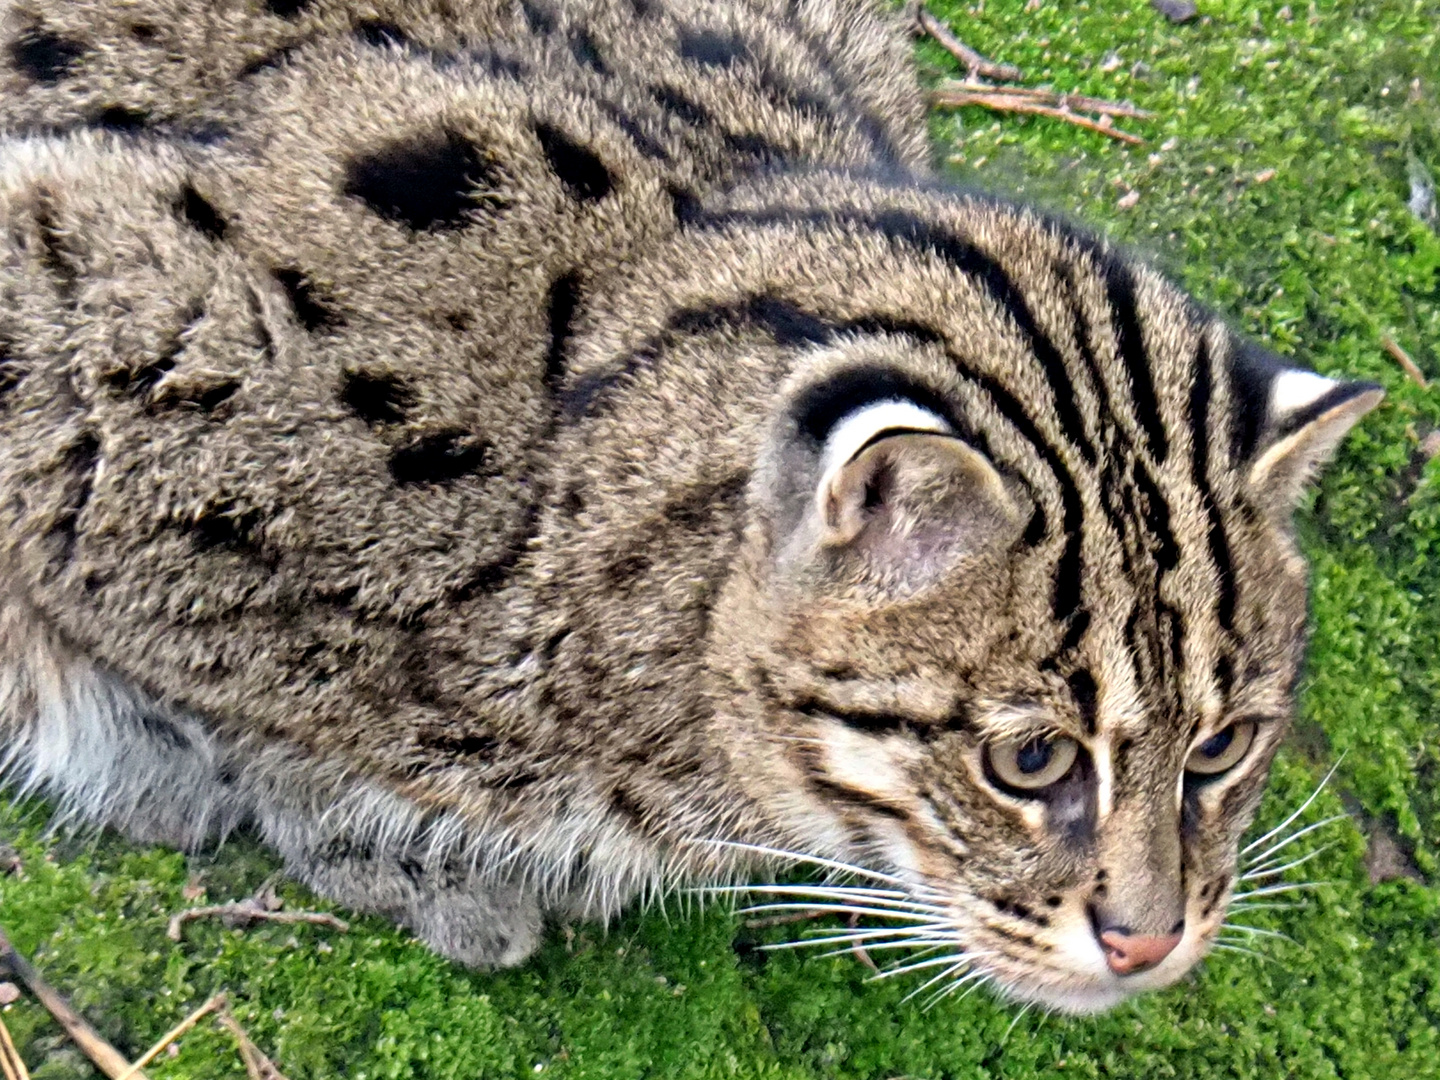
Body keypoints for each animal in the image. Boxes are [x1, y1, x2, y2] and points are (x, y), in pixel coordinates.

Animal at [0, 0, 1376, 1013]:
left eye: (1223, 747)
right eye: (1028, 760)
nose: (1153, 944)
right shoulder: (92, 332)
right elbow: (218, 672)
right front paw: (345, 822)